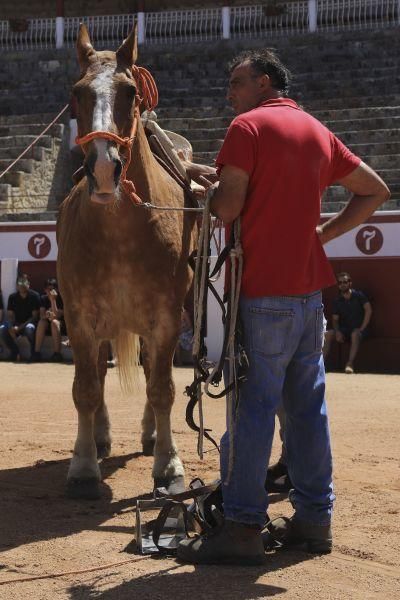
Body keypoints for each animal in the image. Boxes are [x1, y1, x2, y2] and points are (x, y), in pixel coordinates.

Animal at [57, 24, 198, 502]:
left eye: (130, 91)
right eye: (77, 92)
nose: (103, 168)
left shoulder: (167, 318)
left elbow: (163, 389)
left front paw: (169, 465)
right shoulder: (80, 316)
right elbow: (84, 388)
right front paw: (83, 466)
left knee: (155, 374)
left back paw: (152, 435)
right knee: (98, 374)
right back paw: (99, 437)